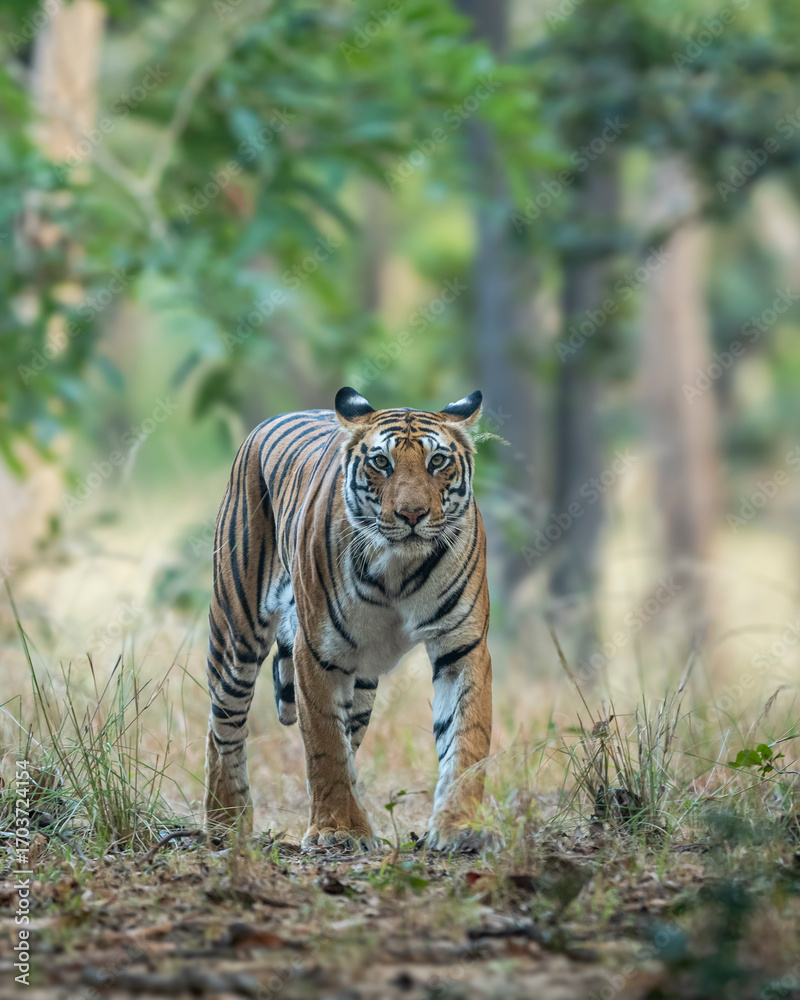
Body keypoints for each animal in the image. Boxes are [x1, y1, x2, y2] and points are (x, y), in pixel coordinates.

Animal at [204, 386, 493, 852]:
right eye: (382, 463)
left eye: (437, 461)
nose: (413, 515)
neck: (399, 568)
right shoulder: (319, 651)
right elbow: (324, 744)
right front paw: (338, 830)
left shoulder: (462, 648)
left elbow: (467, 738)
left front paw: (460, 827)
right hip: (236, 632)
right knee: (222, 726)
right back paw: (225, 823)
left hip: (363, 679)